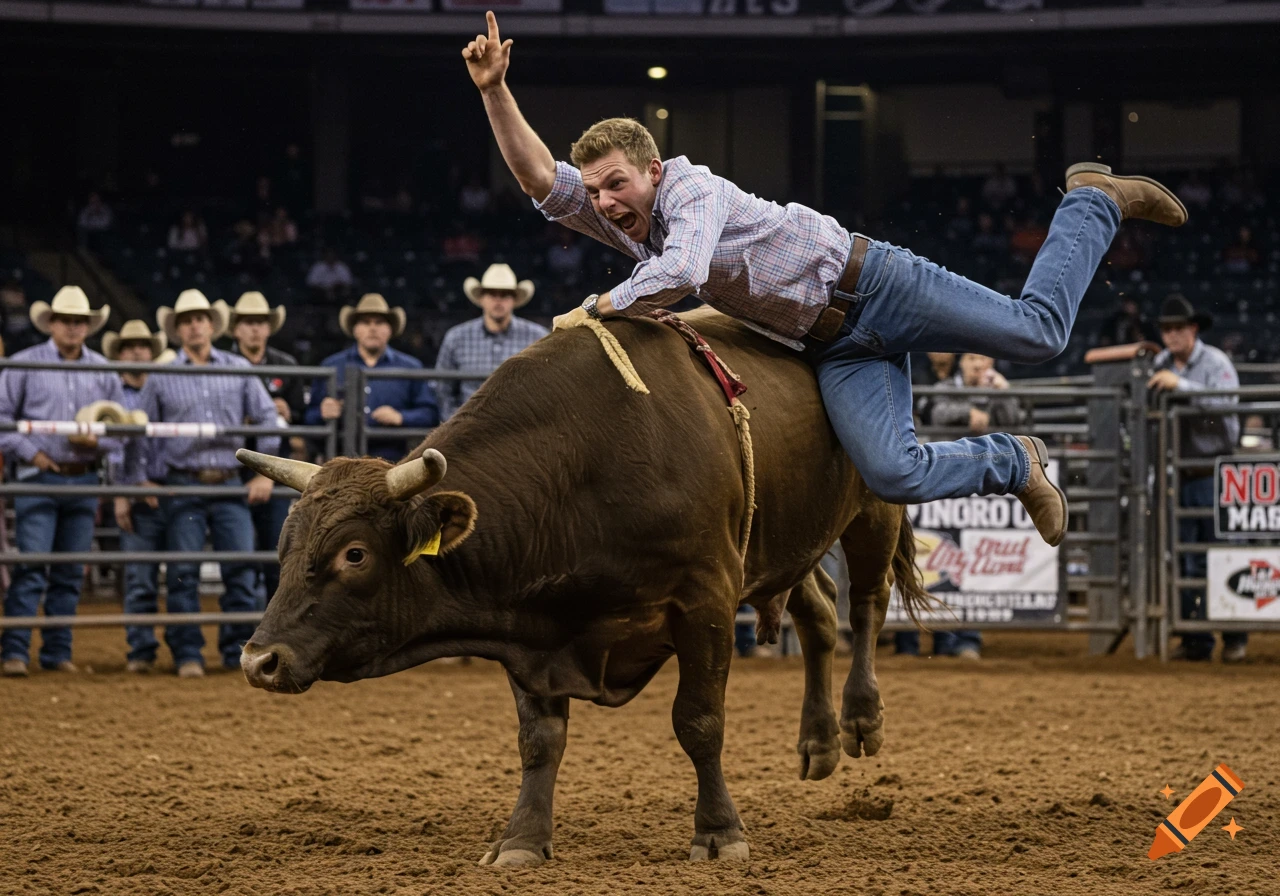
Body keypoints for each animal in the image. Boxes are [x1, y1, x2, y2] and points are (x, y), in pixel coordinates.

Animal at [236, 306, 932, 866]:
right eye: (285, 546)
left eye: (354, 553)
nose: (258, 660)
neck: (581, 469)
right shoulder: (531, 629)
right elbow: (540, 742)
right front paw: (521, 840)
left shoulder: (706, 596)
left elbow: (699, 721)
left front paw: (718, 833)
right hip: (781, 542)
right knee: (816, 611)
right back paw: (818, 742)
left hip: (873, 506)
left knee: (867, 604)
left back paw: (861, 718)